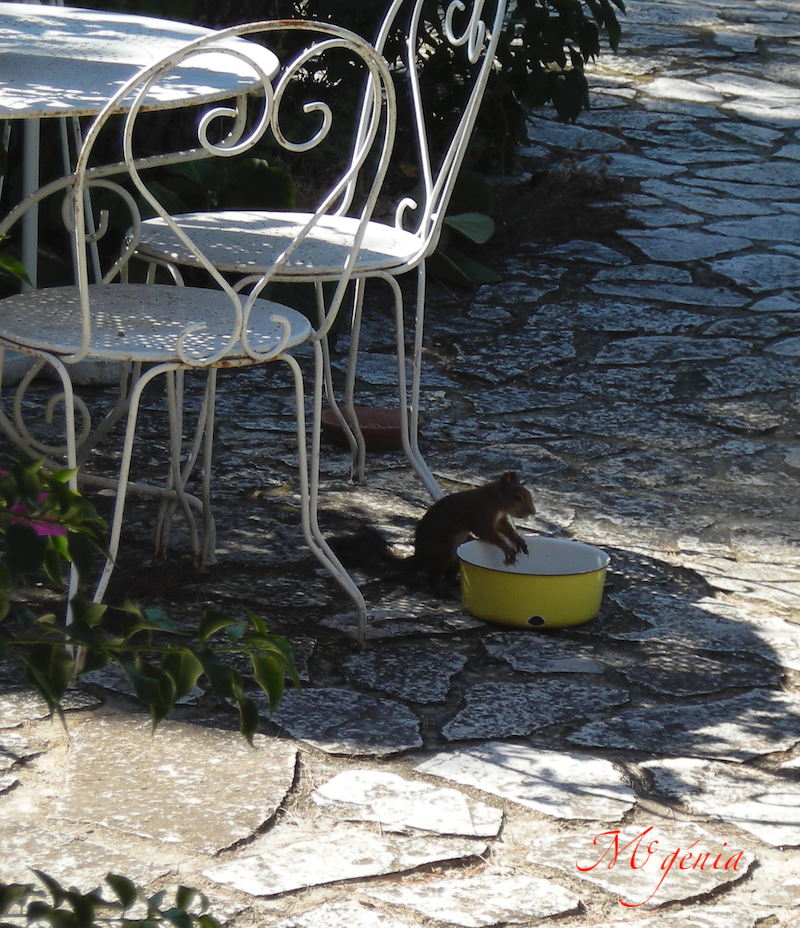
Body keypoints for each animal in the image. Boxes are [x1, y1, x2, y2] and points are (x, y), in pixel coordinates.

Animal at [332, 472, 536, 588]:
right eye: (517, 497)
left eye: (528, 494)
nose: (533, 512)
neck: (495, 500)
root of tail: (419, 557)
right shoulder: (480, 514)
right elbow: (486, 533)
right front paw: (507, 549)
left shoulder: (498, 518)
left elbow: (504, 529)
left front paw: (519, 541)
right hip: (442, 551)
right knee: (433, 578)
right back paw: (441, 590)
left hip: (454, 558)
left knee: (446, 575)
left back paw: (455, 583)